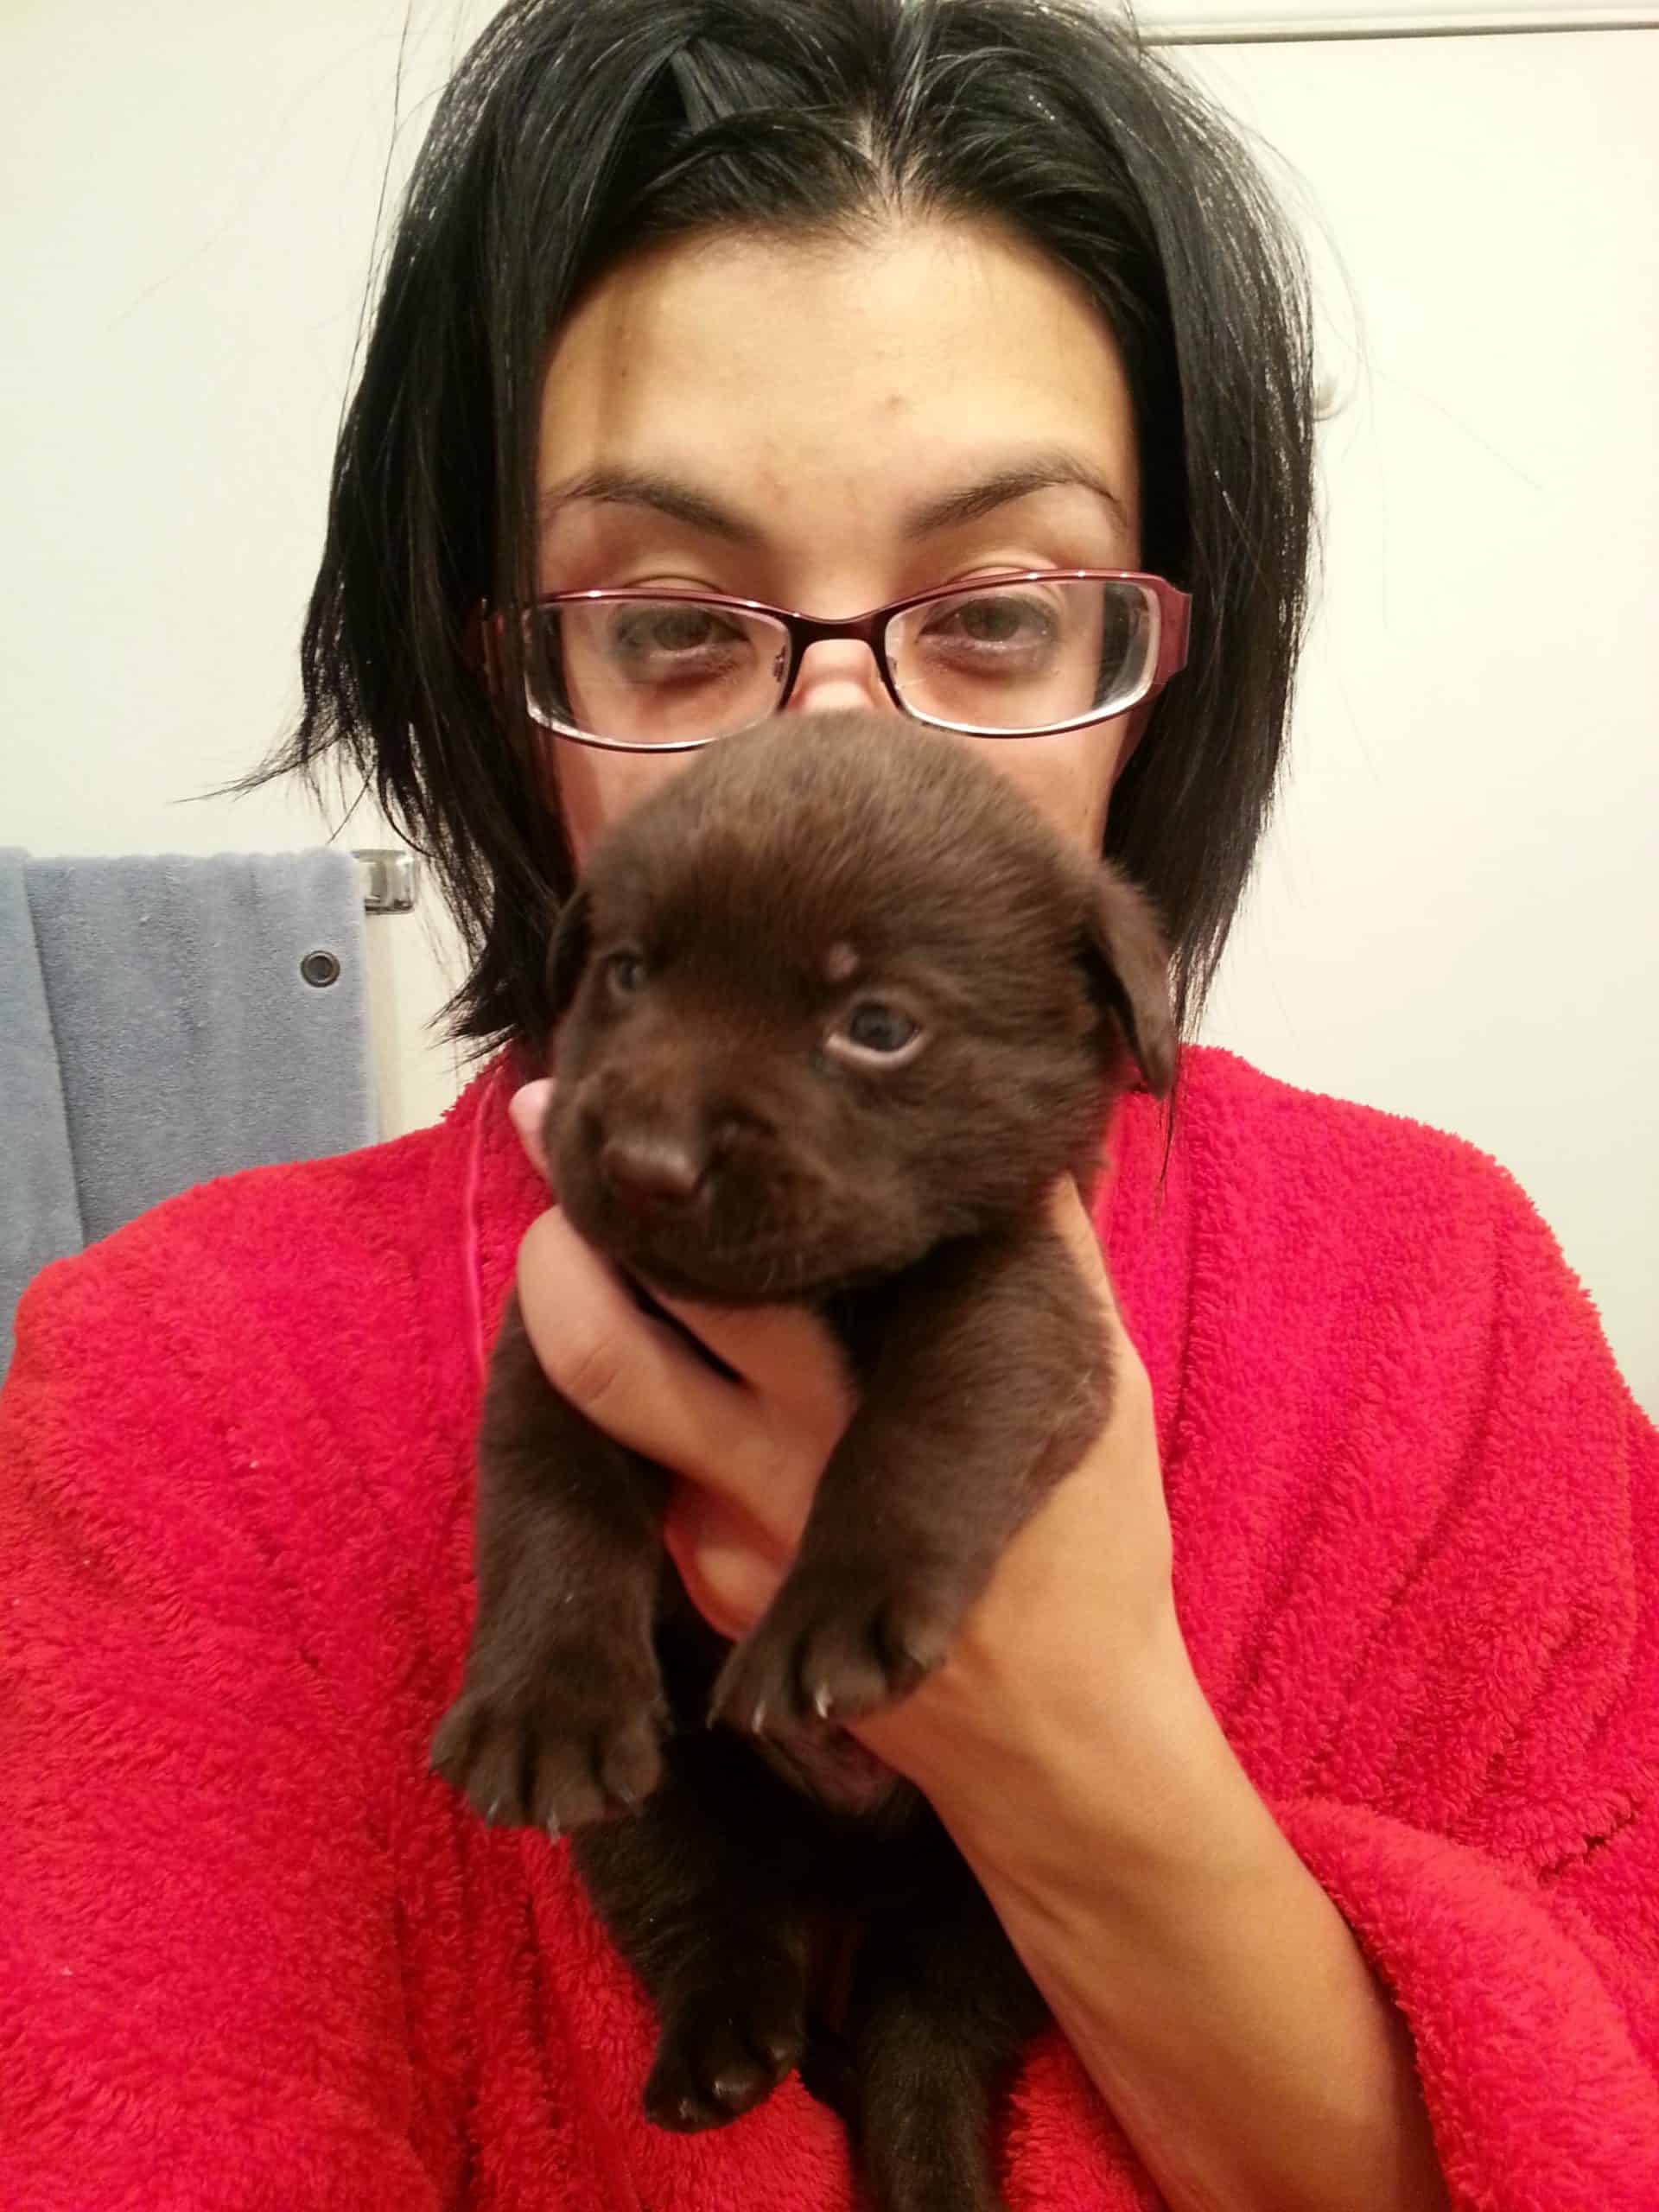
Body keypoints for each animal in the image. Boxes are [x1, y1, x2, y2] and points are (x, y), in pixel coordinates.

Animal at [435, 712, 1176, 2212]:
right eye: (628, 973)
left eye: (878, 1027)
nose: (647, 1161)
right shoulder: (563, 1323)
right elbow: (548, 1499)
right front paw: (540, 1692)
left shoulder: (1019, 1293)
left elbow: (933, 1418)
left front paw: (839, 1610)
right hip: (661, 1804)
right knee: (712, 1911)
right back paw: (721, 2046)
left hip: (998, 1894)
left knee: (924, 2040)